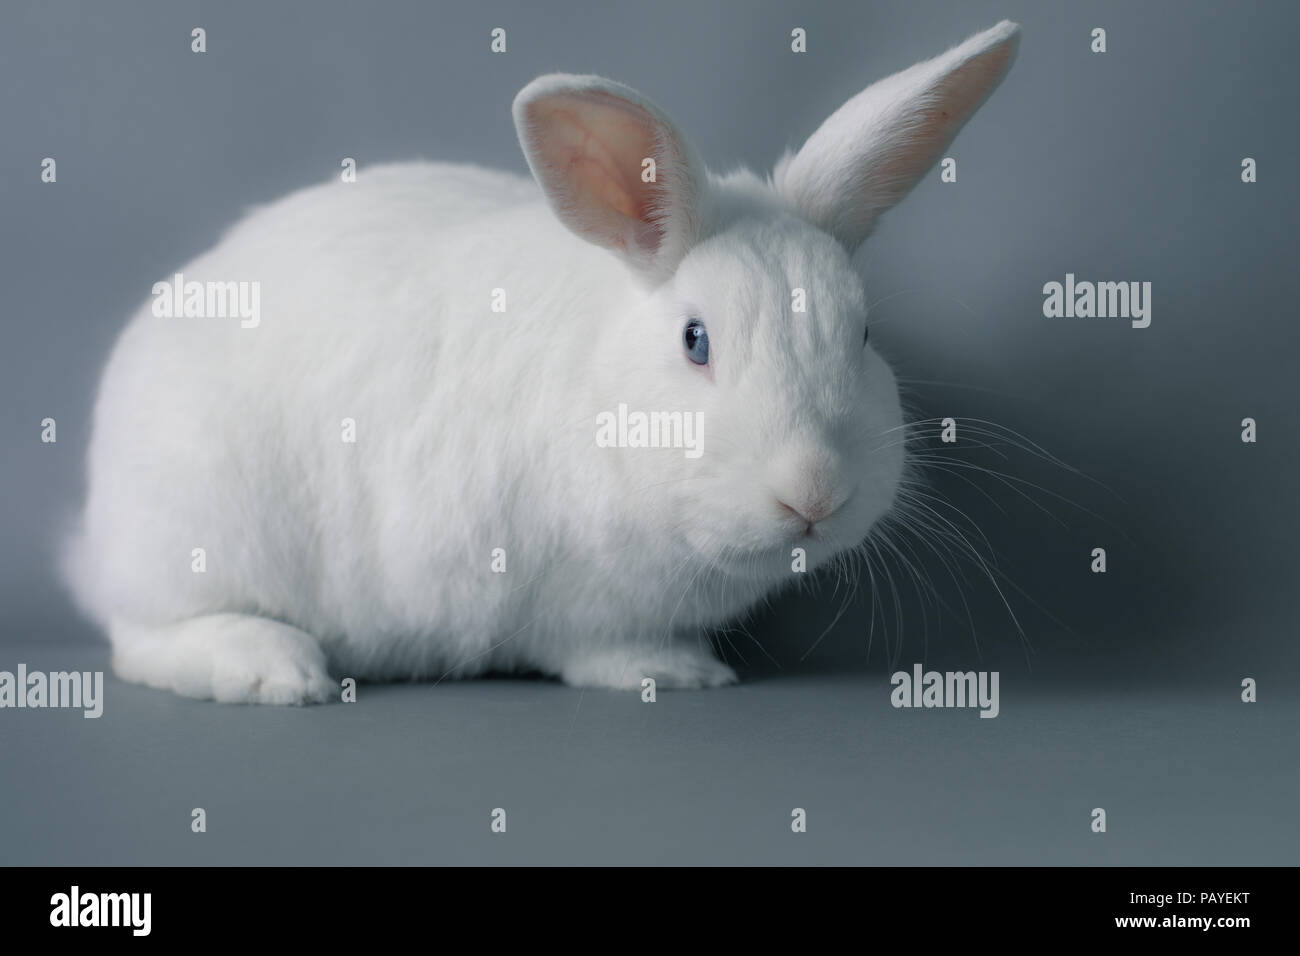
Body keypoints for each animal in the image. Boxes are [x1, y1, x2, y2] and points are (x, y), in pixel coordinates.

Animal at [62, 21, 1020, 704]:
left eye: (862, 335)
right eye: (696, 340)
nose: (813, 495)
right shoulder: (558, 589)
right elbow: (595, 645)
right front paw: (672, 673)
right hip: (196, 531)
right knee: (144, 637)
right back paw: (274, 670)